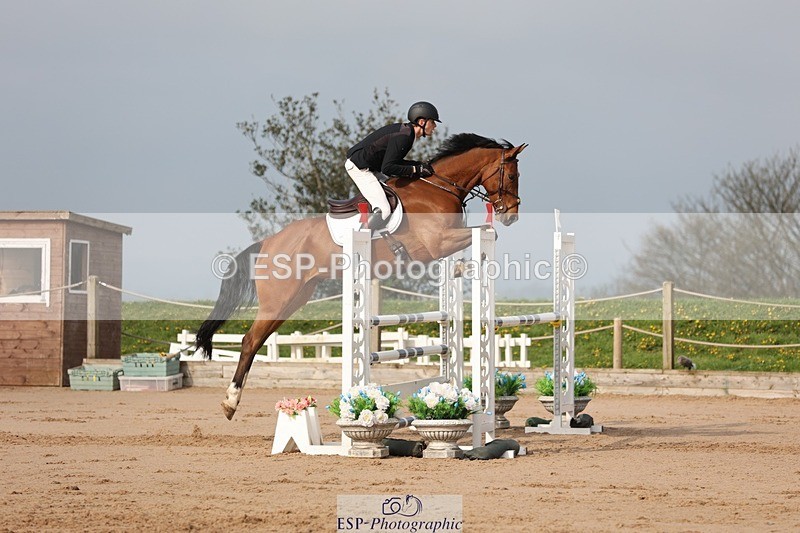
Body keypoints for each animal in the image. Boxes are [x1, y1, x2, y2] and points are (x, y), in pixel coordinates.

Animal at [196, 133, 528, 419]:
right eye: (513, 176)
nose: (511, 214)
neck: (437, 188)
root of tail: (268, 243)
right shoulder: (438, 241)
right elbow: (483, 232)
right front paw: (469, 262)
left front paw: (462, 266)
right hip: (279, 299)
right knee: (250, 341)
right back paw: (230, 402)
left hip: (294, 299)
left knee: (257, 339)